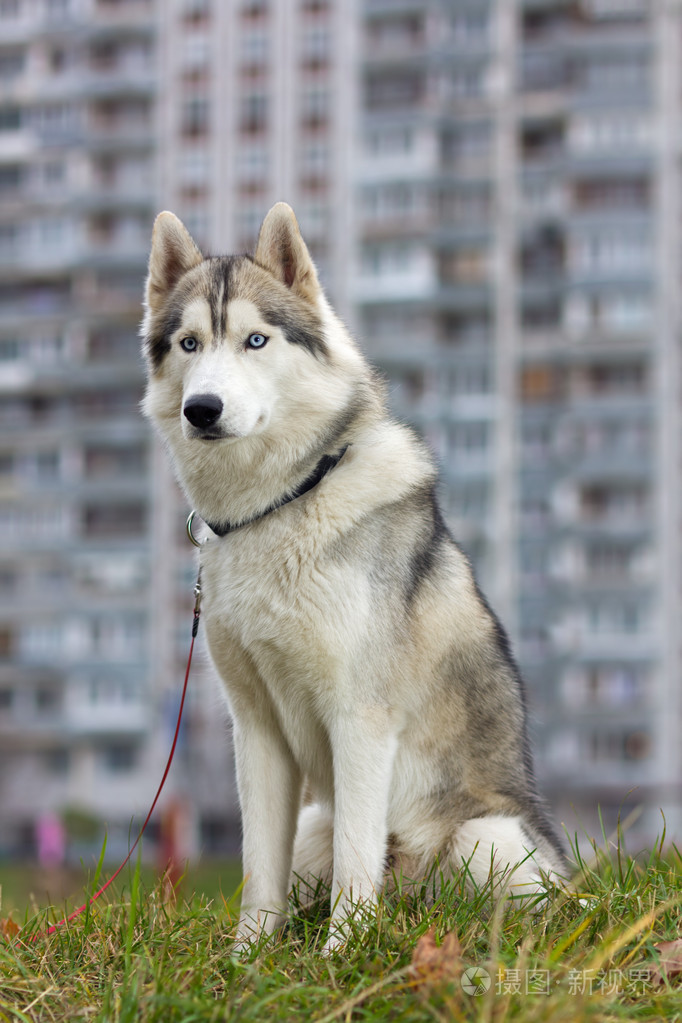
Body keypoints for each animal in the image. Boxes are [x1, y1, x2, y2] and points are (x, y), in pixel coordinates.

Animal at [140, 203, 564, 945]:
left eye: (255, 340)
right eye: (189, 343)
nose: (203, 409)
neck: (279, 504)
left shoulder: (360, 719)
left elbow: (356, 860)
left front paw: (345, 949)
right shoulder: (256, 729)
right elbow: (258, 865)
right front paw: (249, 955)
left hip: (487, 839)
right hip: (316, 821)